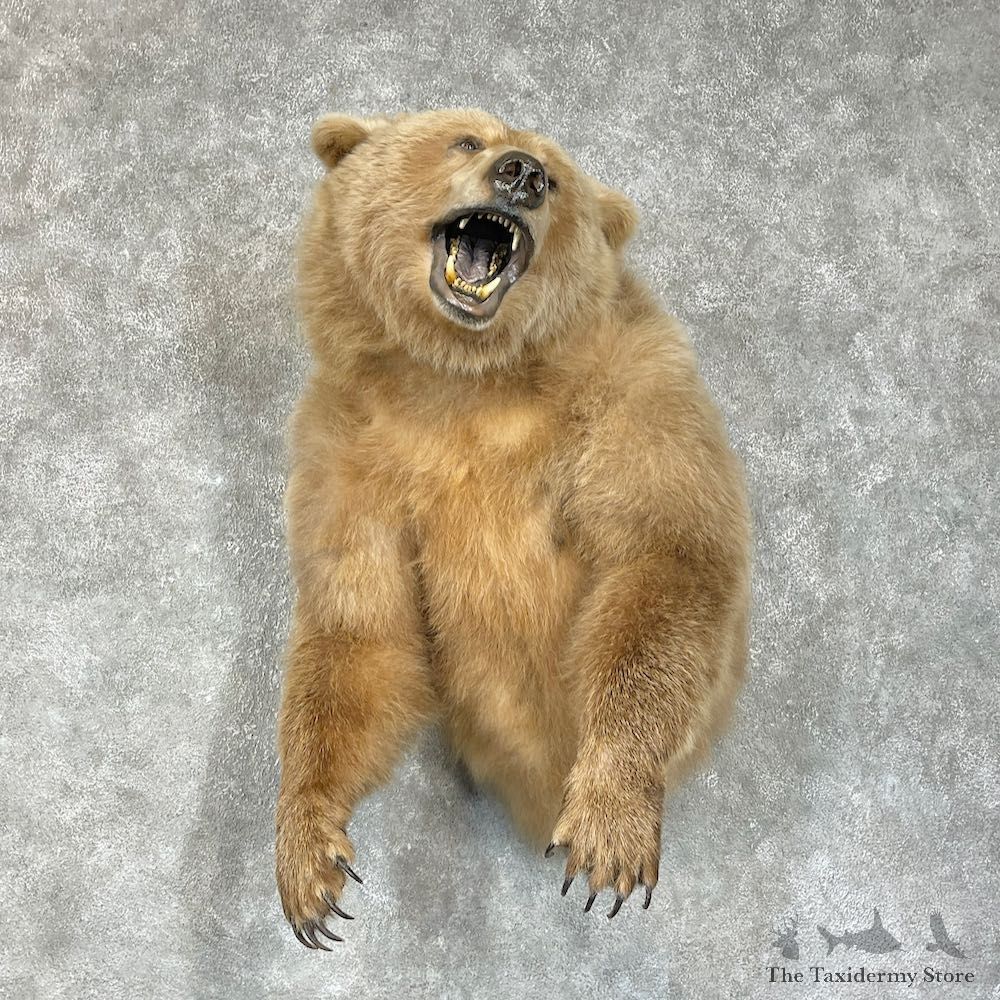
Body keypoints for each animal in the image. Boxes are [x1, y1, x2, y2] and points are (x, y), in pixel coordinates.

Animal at [275, 108, 751, 948]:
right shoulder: (350, 449)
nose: (521, 174)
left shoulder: (631, 391)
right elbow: (357, 623)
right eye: (465, 139)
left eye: (556, 177)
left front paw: (610, 825)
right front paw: (310, 858)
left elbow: (663, 555)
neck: (464, 374)